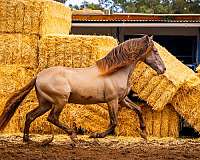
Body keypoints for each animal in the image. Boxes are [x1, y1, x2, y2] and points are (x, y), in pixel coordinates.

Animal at [0, 34, 166, 142]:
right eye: (155, 51)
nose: (163, 69)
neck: (115, 71)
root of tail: (39, 76)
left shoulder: (122, 100)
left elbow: (138, 110)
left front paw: (144, 133)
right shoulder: (112, 100)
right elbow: (114, 122)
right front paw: (96, 135)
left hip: (45, 103)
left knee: (30, 116)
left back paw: (27, 139)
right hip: (60, 101)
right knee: (52, 118)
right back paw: (73, 135)